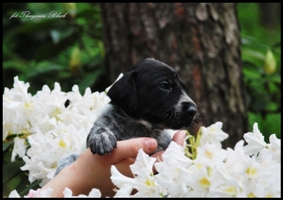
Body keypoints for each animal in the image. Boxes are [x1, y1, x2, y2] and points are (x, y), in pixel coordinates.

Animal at [55, 58, 197, 175]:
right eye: (164, 86)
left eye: (183, 88)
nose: (193, 110)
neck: (138, 125)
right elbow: (99, 128)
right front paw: (102, 137)